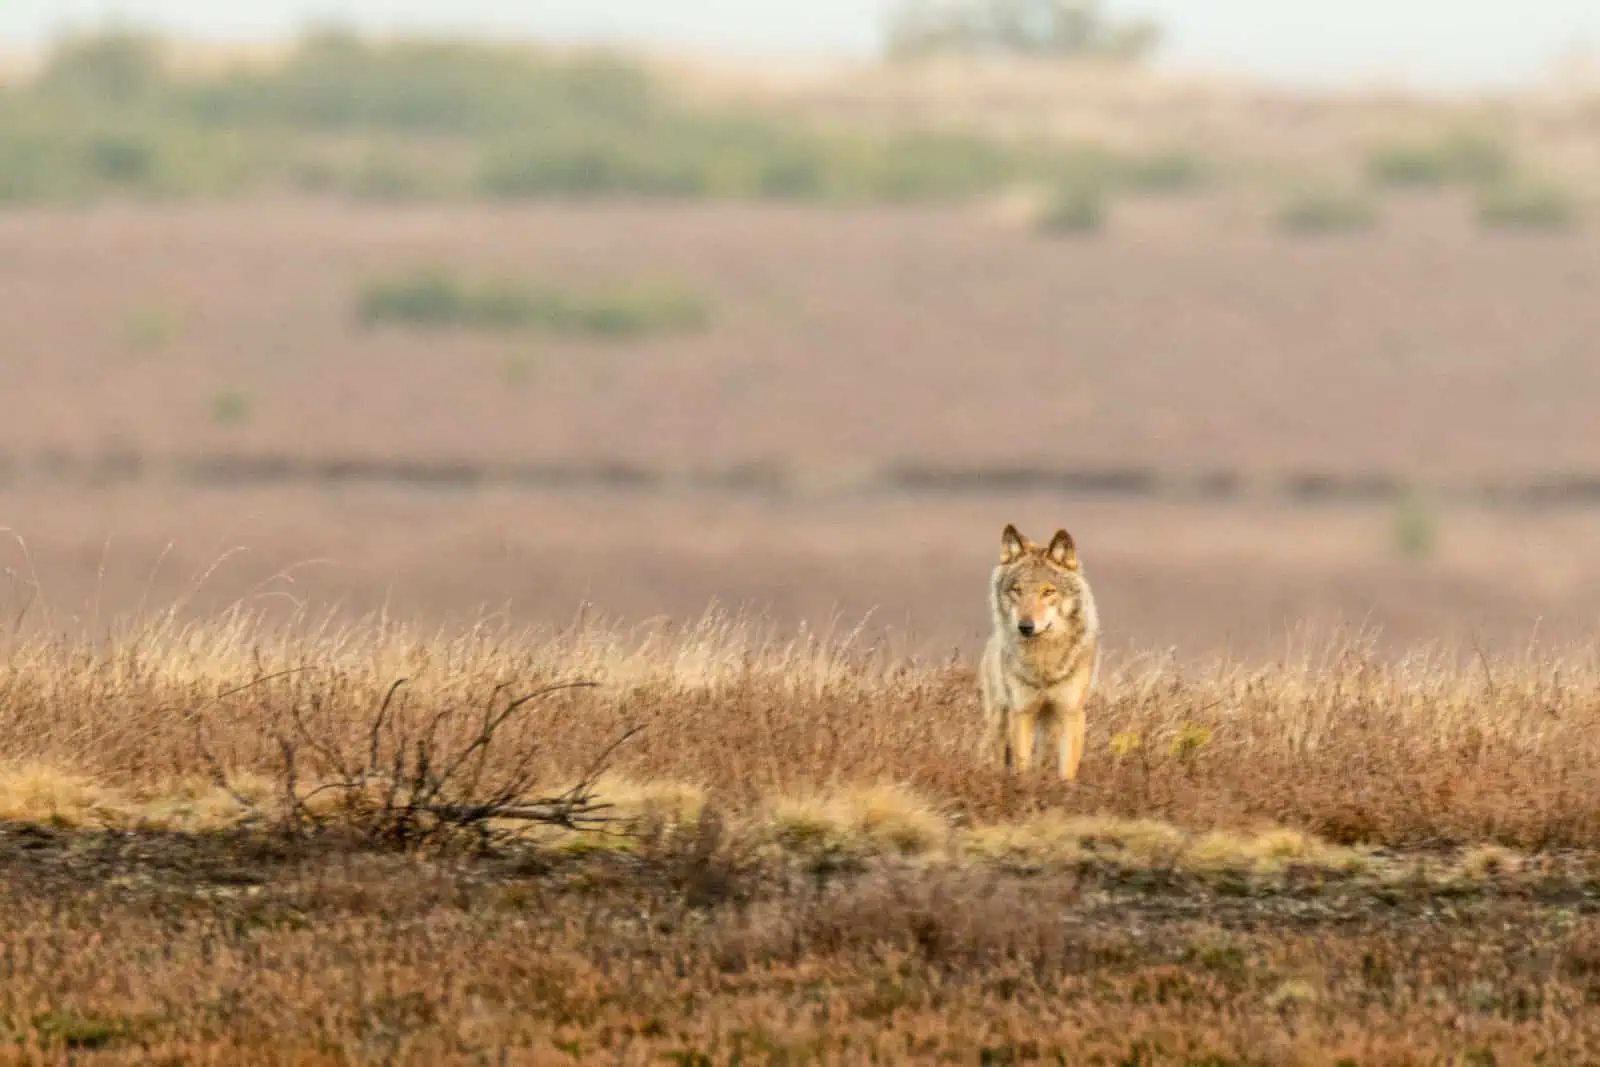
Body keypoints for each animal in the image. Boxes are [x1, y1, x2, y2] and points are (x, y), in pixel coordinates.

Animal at [972, 524, 1100, 780]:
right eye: (1017, 590)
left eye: (1048, 591)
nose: (1025, 627)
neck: (1044, 665)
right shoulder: (1022, 713)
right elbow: (1022, 766)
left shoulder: (1070, 714)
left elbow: (1067, 771)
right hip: (1000, 721)